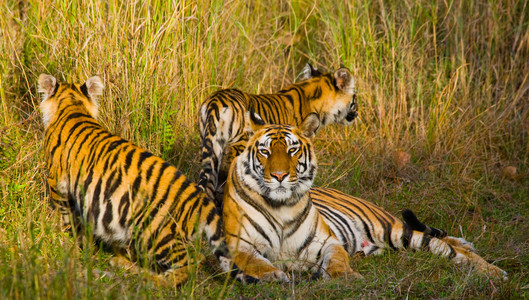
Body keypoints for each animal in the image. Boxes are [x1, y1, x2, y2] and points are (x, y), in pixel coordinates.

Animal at [37, 73, 254, 286]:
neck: (73, 106)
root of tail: (201, 200)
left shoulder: (57, 183)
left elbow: (65, 215)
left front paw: (67, 239)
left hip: (156, 232)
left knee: (190, 265)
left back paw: (152, 280)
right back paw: (122, 263)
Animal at [221, 110, 506, 282]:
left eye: (292, 150)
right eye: (265, 151)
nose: (279, 175)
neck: (280, 206)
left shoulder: (327, 242)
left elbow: (337, 261)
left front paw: (346, 277)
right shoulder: (239, 244)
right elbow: (255, 262)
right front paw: (275, 275)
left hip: (395, 230)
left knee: (451, 249)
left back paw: (493, 270)